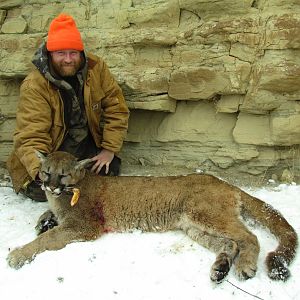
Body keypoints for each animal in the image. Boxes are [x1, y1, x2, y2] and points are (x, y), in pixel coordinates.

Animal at [7, 152, 298, 284]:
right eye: (46, 172)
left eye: (63, 174)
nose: (49, 185)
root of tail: (223, 182)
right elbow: (48, 224)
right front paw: (45, 219)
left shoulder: (84, 226)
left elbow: (47, 240)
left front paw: (18, 254)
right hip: (193, 225)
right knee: (230, 243)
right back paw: (221, 268)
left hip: (205, 213)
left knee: (249, 236)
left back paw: (244, 266)